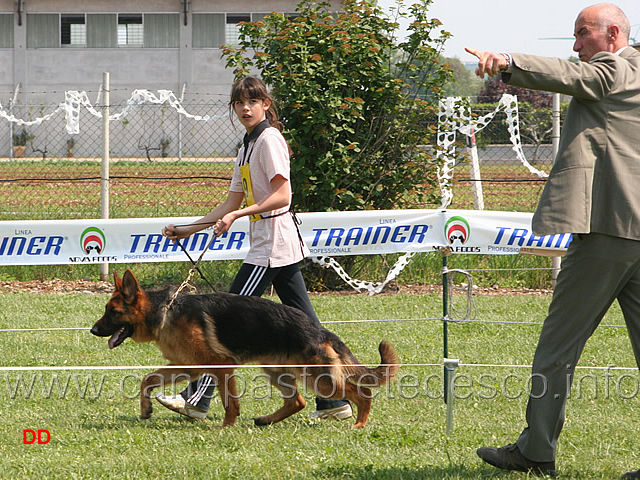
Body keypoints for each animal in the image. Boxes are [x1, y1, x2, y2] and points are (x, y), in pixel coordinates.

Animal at [92, 270, 398, 428]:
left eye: (113, 312)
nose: (93, 330)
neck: (164, 311)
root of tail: (321, 330)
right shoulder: (187, 367)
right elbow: (147, 380)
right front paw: (145, 409)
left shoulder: (220, 367)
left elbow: (230, 402)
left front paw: (226, 427)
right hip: (277, 372)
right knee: (297, 401)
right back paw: (267, 420)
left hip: (317, 379)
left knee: (363, 393)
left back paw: (359, 424)